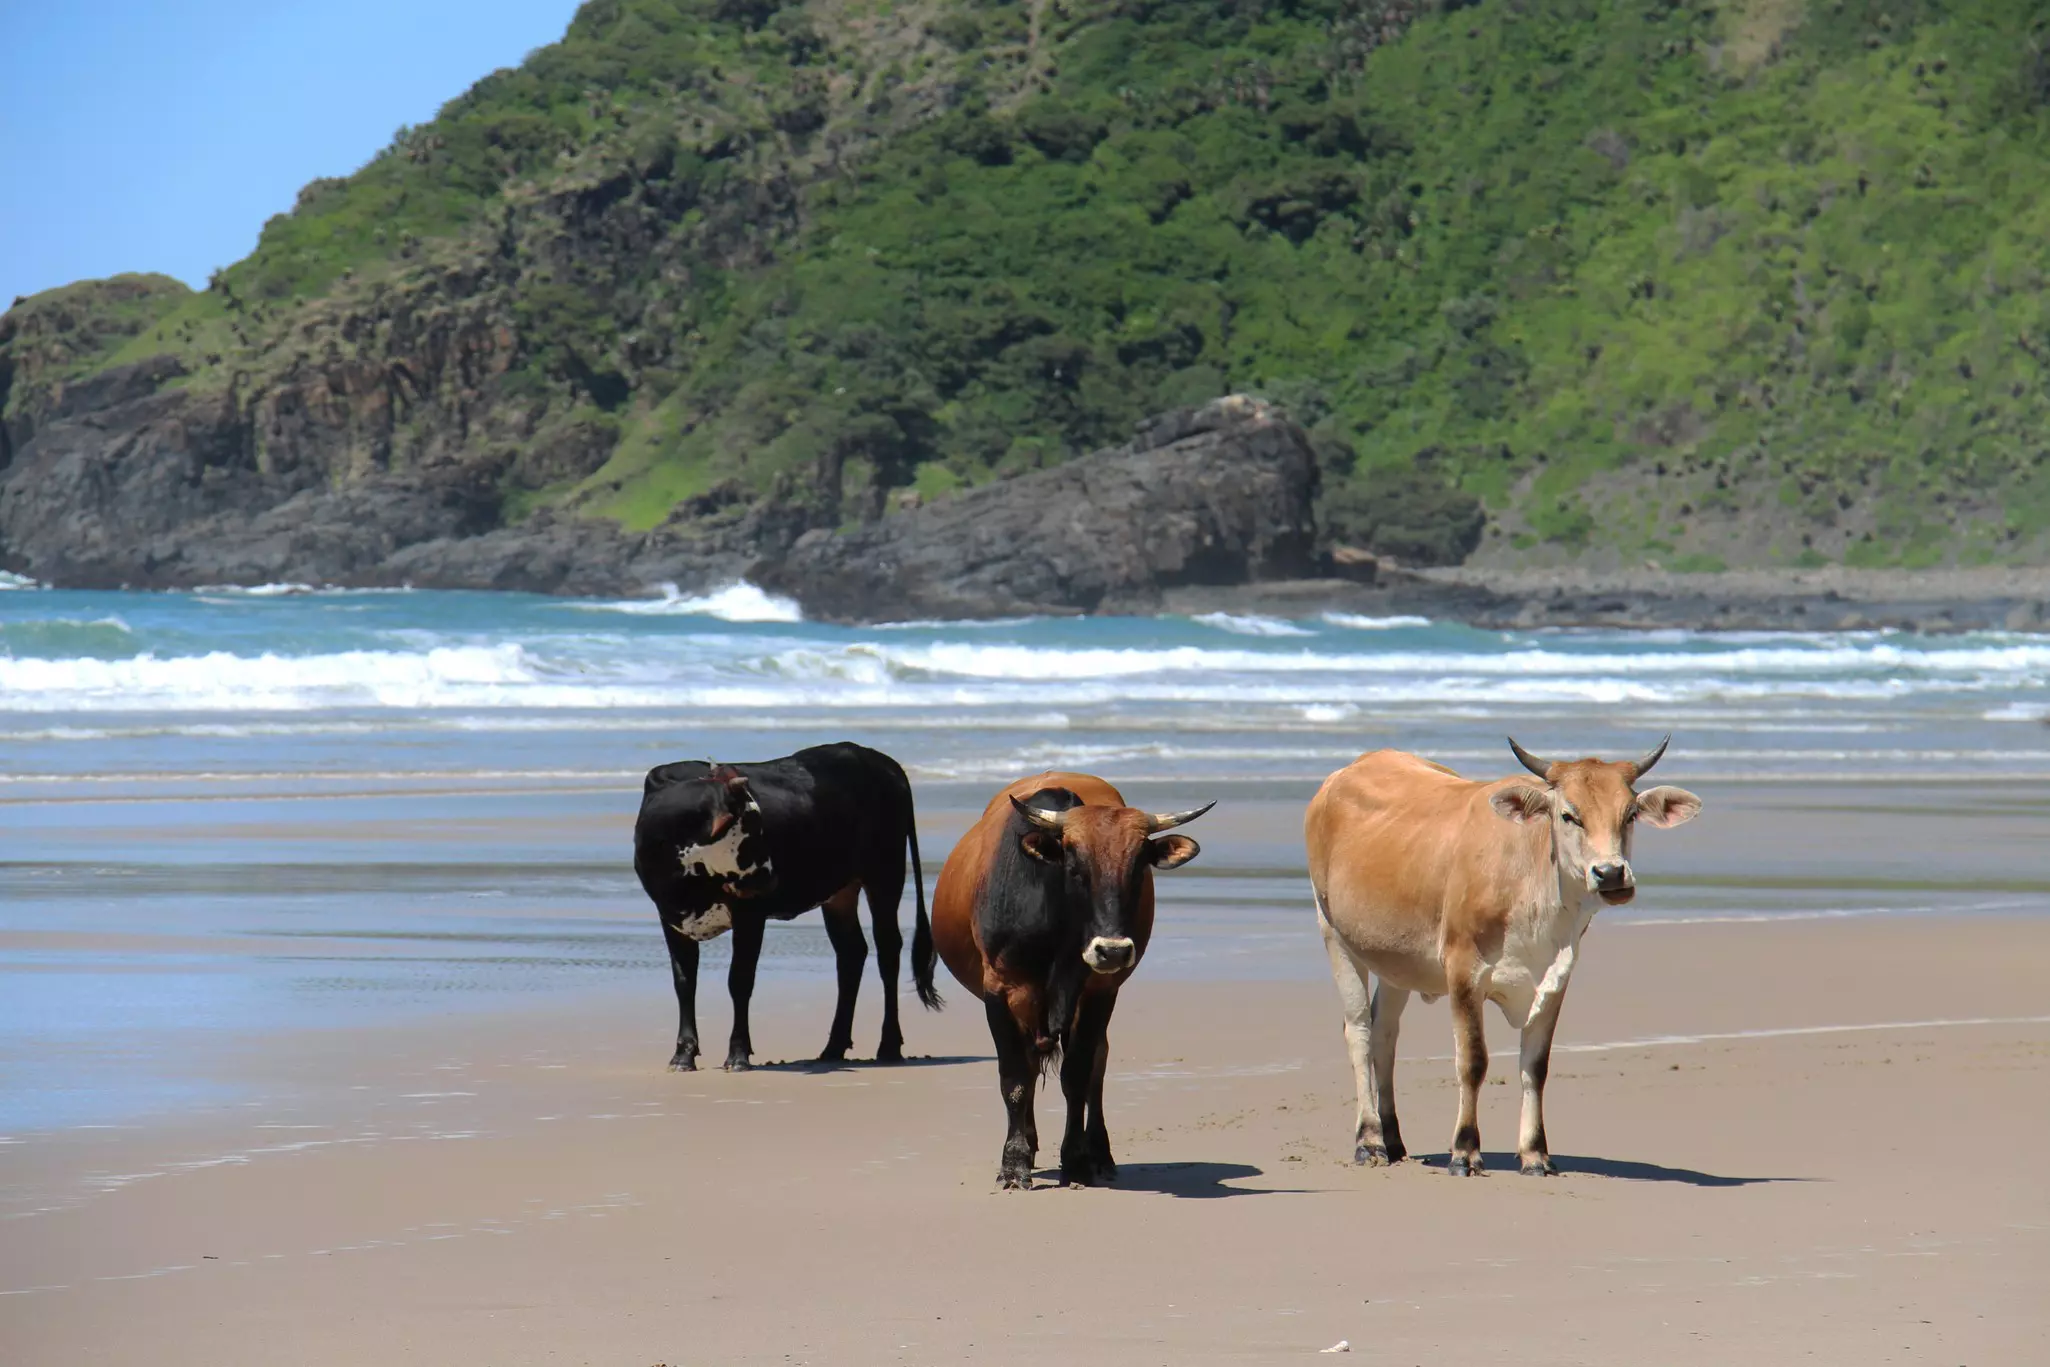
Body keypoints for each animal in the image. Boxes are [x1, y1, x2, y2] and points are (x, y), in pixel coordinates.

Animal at [632, 742, 941, 1072]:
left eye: (762, 825)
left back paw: (889, 1045)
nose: (771, 879)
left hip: (885, 874)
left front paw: (738, 1054)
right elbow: (684, 982)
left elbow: (739, 980)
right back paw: (833, 1046)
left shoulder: (750, 914)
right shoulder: (670, 915)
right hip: (840, 891)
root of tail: (879, 760)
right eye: (751, 829)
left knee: (888, 951)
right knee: (851, 952)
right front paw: (683, 1055)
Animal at [932, 771, 1212, 1189]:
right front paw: (1014, 1163)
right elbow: (1014, 1077)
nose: (1112, 951)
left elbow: (1077, 1076)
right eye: (1076, 865)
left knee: (1097, 1062)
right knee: (1031, 1063)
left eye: (1138, 866)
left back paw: (1099, 1153)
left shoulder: (1098, 991)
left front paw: (1076, 1160)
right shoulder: (999, 989)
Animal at [1305, 737, 1701, 1176]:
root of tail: (1346, 773)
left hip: (1396, 963)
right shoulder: (1463, 972)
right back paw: (1369, 1141)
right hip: (1334, 932)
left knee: (1384, 1035)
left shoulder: (1556, 978)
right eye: (1568, 815)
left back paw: (1392, 1139)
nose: (1611, 874)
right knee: (1358, 1032)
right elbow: (1472, 1061)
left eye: (1629, 815)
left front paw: (1535, 1154)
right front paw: (1464, 1151)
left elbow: (1535, 1066)